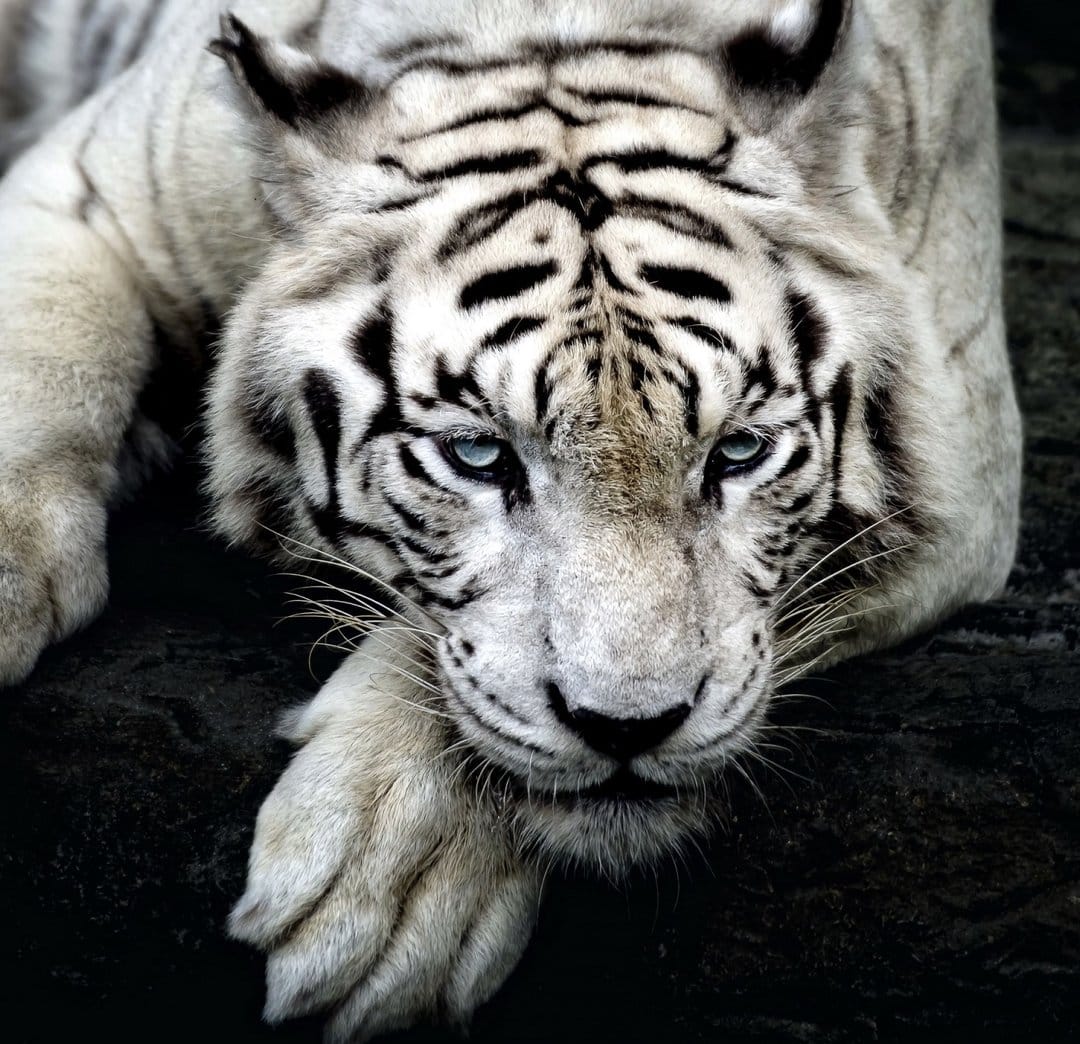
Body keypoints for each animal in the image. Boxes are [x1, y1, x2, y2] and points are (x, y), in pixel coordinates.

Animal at [0, 0, 1022, 1039]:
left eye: (737, 452)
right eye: (478, 455)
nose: (629, 730)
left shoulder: (966, 467)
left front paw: (386, 883)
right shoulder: (93, 189)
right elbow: (45, 350)